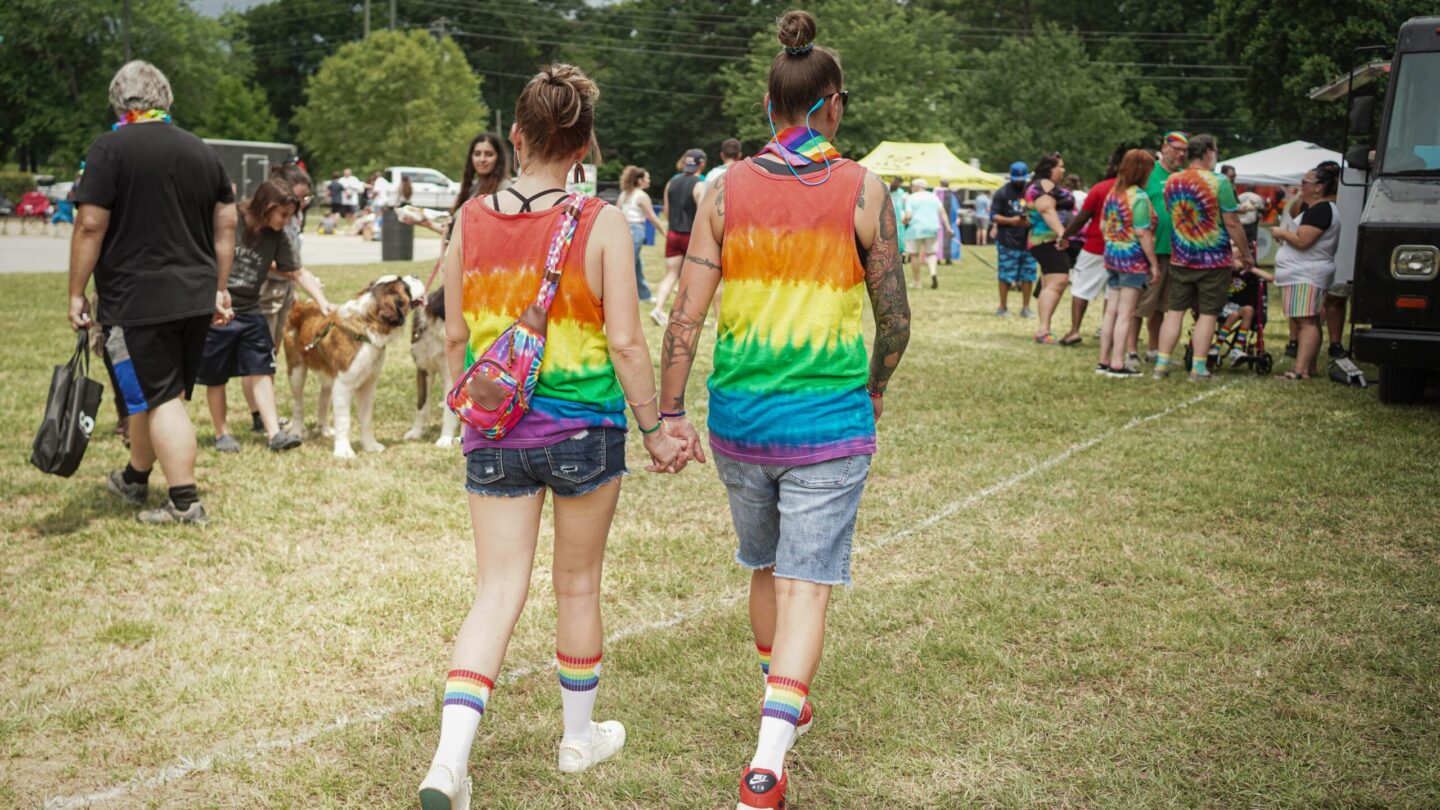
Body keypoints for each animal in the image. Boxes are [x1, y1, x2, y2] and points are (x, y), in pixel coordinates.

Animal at [282, 273, 423, 458]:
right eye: (405, 286)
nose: (415, 275)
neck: (368, 323)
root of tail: (300, 305)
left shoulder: (368, 385)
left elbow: (366, 417)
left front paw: (370, 445)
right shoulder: (344, 385)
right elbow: (344, 420)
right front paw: (344, 451)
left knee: (323, 399)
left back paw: (324, 429)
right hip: (296, 370)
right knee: (298, 402)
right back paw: (297, 430)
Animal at [403, 286, 457, 443]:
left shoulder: (450, 374)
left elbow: (448, 412)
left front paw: (445, 438)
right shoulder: (423, 369)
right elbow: (422, 406)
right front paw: (416, 432)